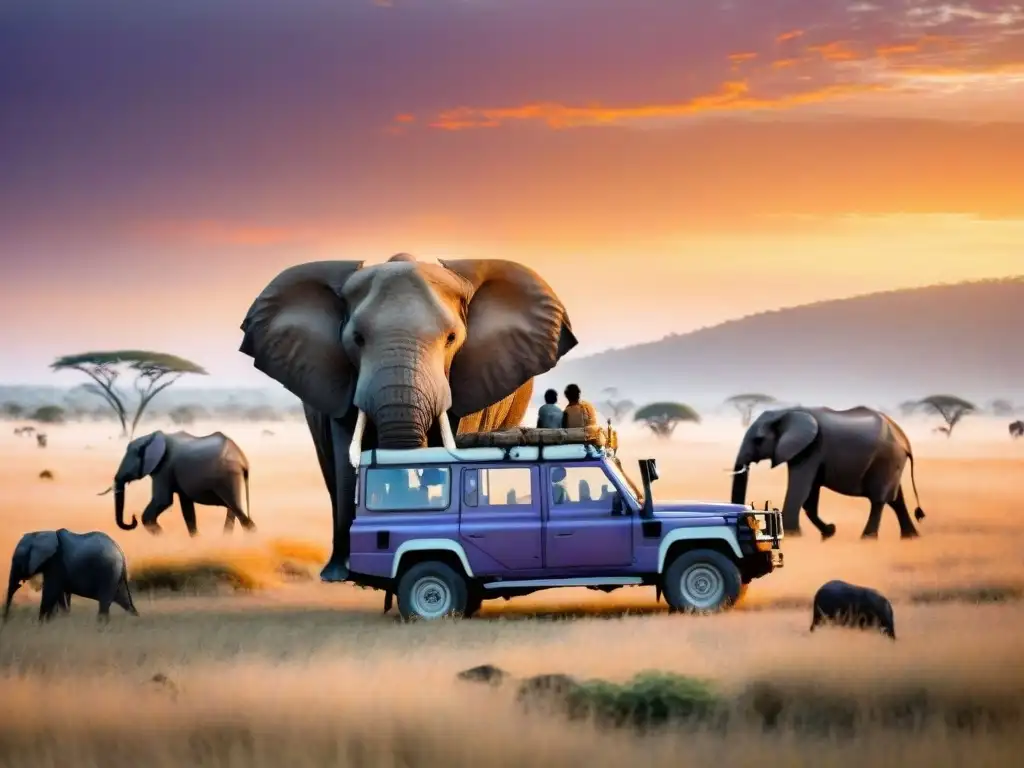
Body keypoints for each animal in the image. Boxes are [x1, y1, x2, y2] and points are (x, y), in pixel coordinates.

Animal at [3, 528, 139, 626]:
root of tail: (120, 552)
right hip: (115, 576)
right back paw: (134, 620)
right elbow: (58, 594)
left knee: (105, 602)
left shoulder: (55, 564)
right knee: (123, 600)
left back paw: (101, 626)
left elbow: (50, 592)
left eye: (17, 560)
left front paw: (41, 625)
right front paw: (55, 621)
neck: (40, 533)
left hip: (108, 573)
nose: (6, 621)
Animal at [97, 430, 253, 536]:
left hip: (229, 477)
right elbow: (188, 512)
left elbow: (162, 501)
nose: (132, 518)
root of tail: (243, 460)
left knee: (239, 512)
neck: (151, 437)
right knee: (233, 511)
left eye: (129, 460)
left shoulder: (164, 468)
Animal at [729, 409, 929, 540]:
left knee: (879, 500)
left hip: (886, 460)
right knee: (897, 500)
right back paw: (911, 537)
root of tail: (904, 439)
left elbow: (799, 490)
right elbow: (809, 498)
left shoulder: (810, 448)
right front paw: (829, 532)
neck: (786, 412)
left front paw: (793, 536)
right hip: (892, 463)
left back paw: (867, 539)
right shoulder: (807, 451)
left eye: (758, 440)